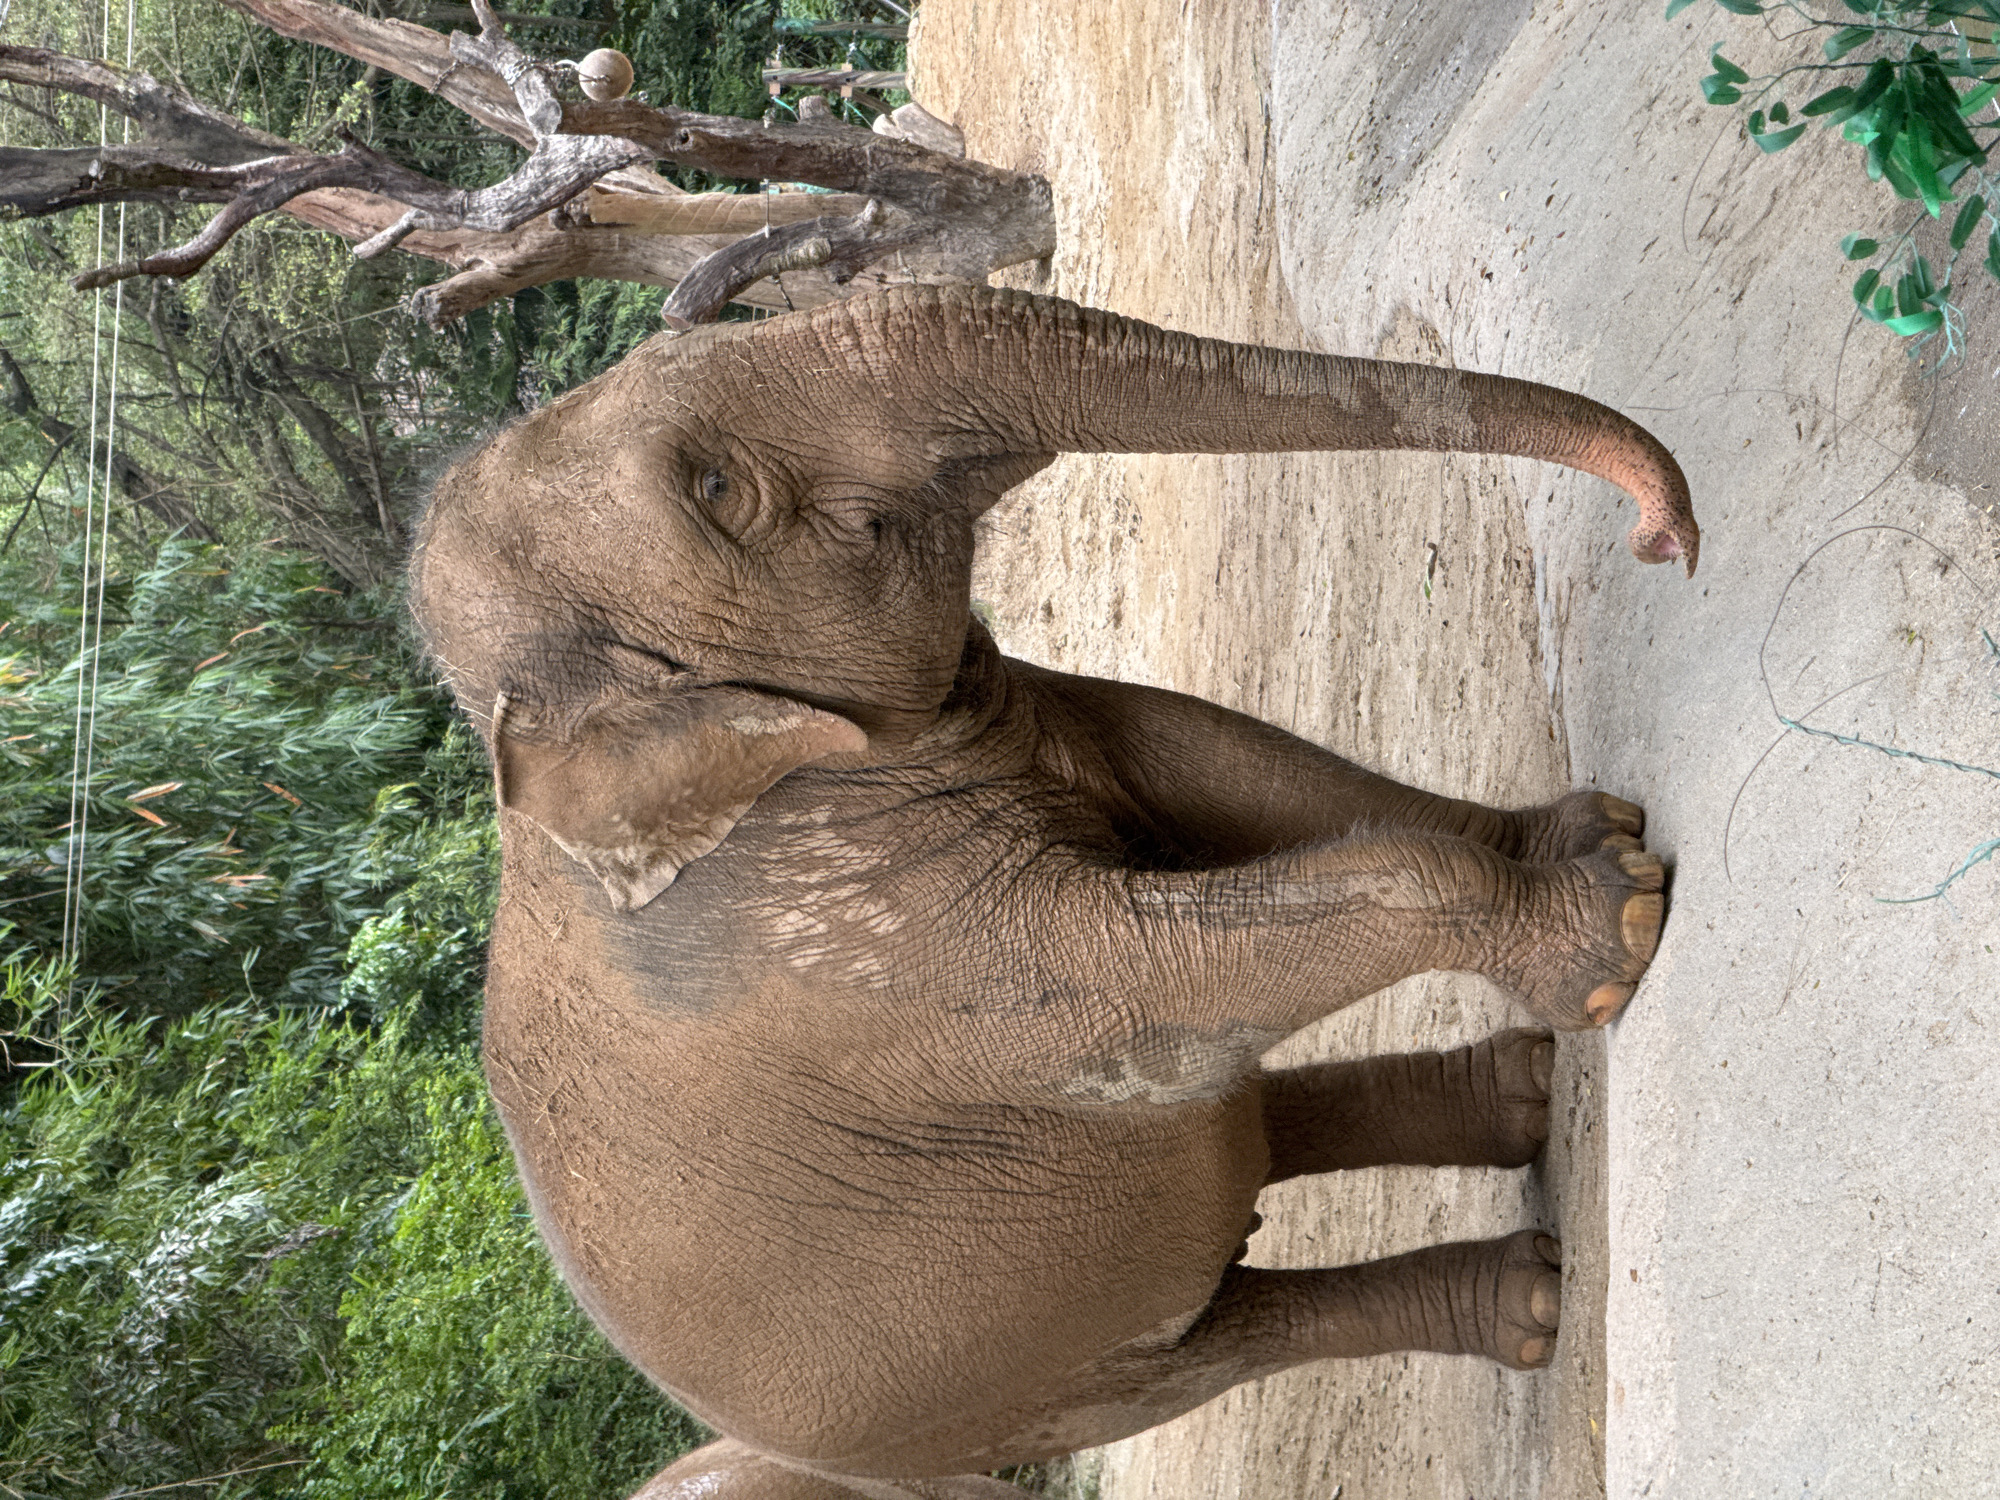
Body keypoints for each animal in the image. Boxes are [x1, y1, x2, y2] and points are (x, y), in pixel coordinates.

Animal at [407, 284, 1697, 1497]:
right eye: (719, 489)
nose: (1665, 538)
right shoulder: (872, 954)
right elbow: (1149, 978)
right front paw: (1619, 929)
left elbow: (1216, 759)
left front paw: (1601, 840)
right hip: (1002, 1399)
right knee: (1214, 1340)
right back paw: (1529, 1298)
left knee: (1235, 1134)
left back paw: (1520, 1099)